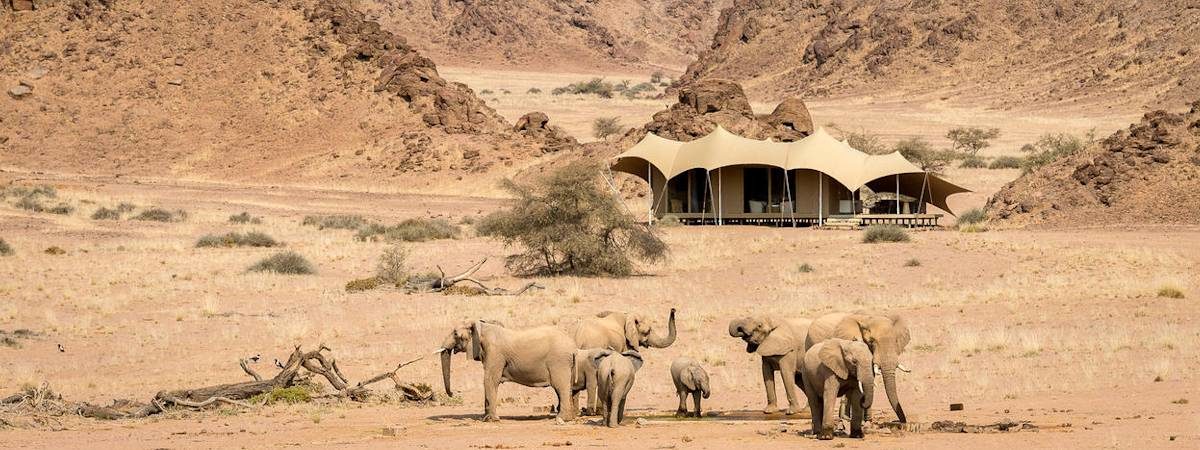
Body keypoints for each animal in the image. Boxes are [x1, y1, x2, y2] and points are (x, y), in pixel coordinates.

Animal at [436, 321, 576, 422]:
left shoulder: (495, 353)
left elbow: (489, 380)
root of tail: (572, 344)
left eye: (455, 333)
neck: (481, 327)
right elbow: (489, 381)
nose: (452, 394)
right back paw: (568, 417)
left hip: (559, 361)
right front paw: (485, 418)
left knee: (560, 387)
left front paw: (492, 420)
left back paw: (561, 419)